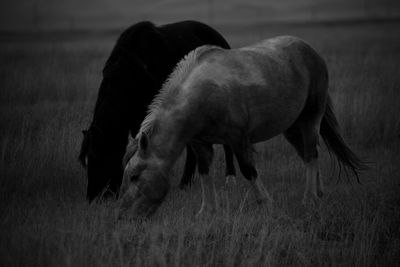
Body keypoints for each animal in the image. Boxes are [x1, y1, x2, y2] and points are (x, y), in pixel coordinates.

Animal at [80, 19, 238, 202]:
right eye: (87, 160)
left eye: (100, 157)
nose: (93, 198)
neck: (135, 70)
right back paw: (186, 183)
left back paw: (230, 179)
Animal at [116, 35, 366, 220]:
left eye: (135, 176)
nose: (123, 217)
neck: (201, 95)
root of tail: (312, 52)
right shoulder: (200, 144)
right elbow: (204, 173)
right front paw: (207, 210)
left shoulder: (238, 139)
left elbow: (248, 170)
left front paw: (266, 204)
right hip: (292, 127)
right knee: (308, 153)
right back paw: (319, 192)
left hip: (310, 119)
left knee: (311, 153)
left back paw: (309, 198)